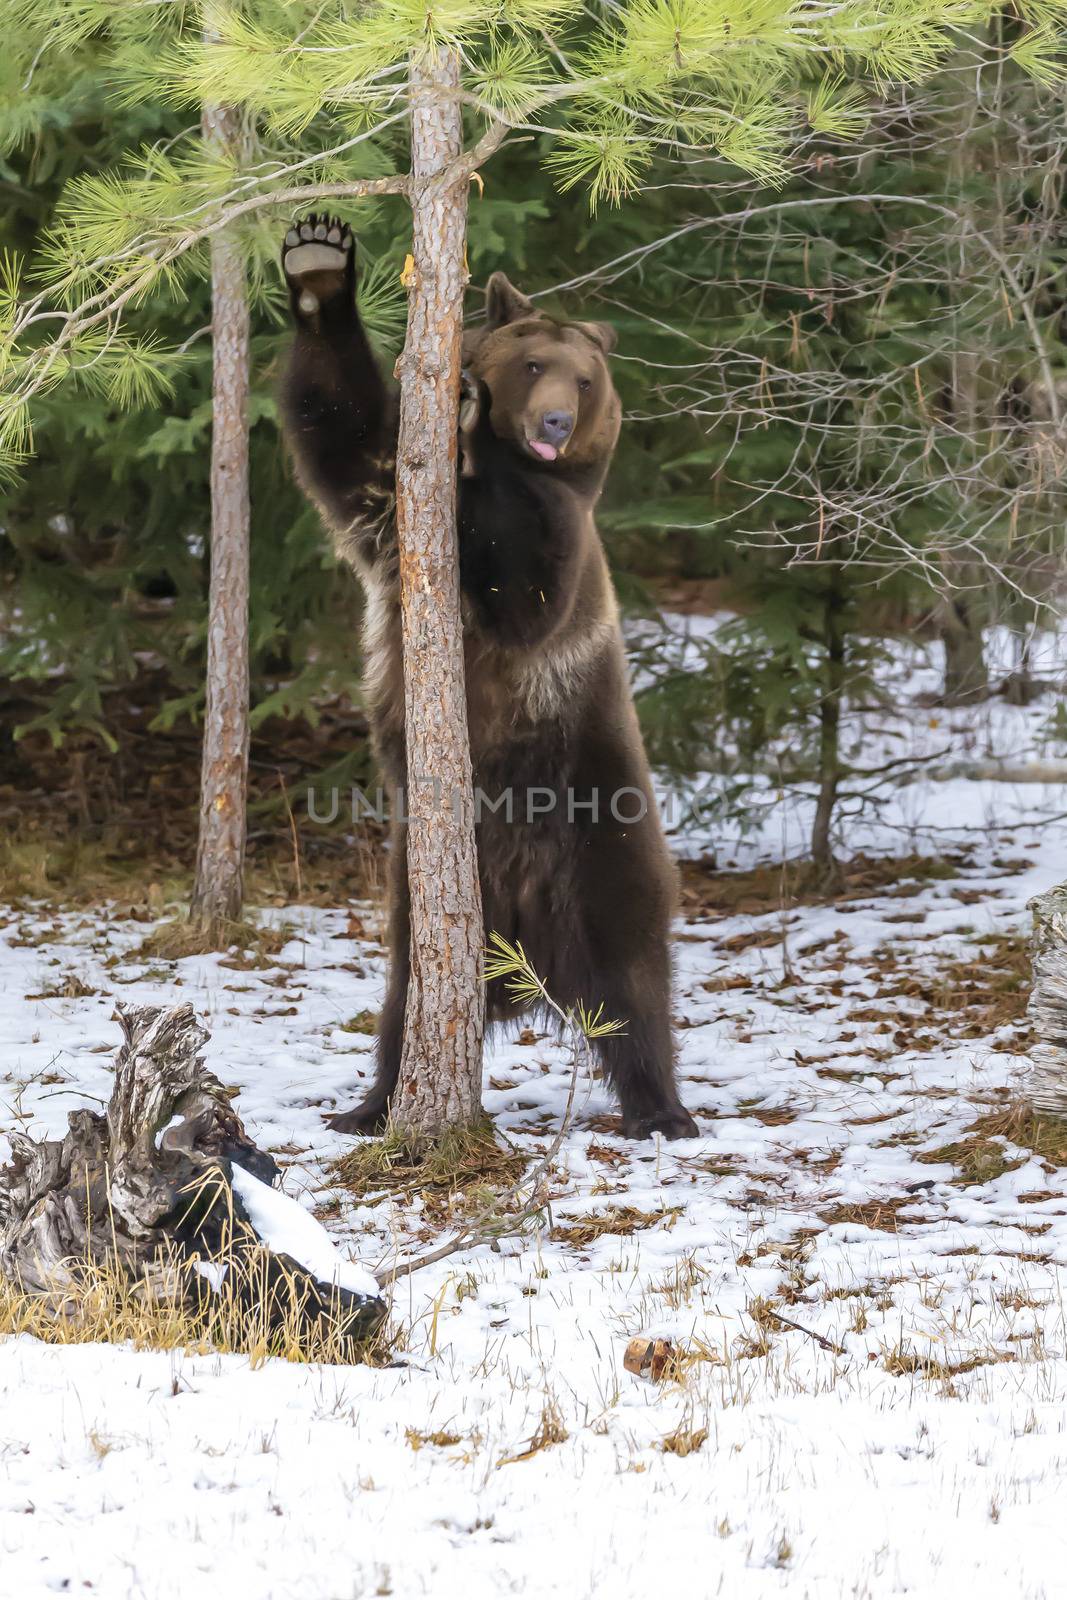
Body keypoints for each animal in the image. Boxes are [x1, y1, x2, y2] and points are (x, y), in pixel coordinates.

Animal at [281, 216, 700, 1139]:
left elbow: (528, 591)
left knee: (636, 985)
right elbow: (344, 436)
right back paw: (370, 1105)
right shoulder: (396, 519)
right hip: (423, 894)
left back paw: (662, 1109)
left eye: (584, 378)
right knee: (405, 1001)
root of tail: (527, 962)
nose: (554, 419)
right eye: (536, 364)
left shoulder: (560, 544)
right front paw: (318, 257)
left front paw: (478, 414)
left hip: (597, 823)